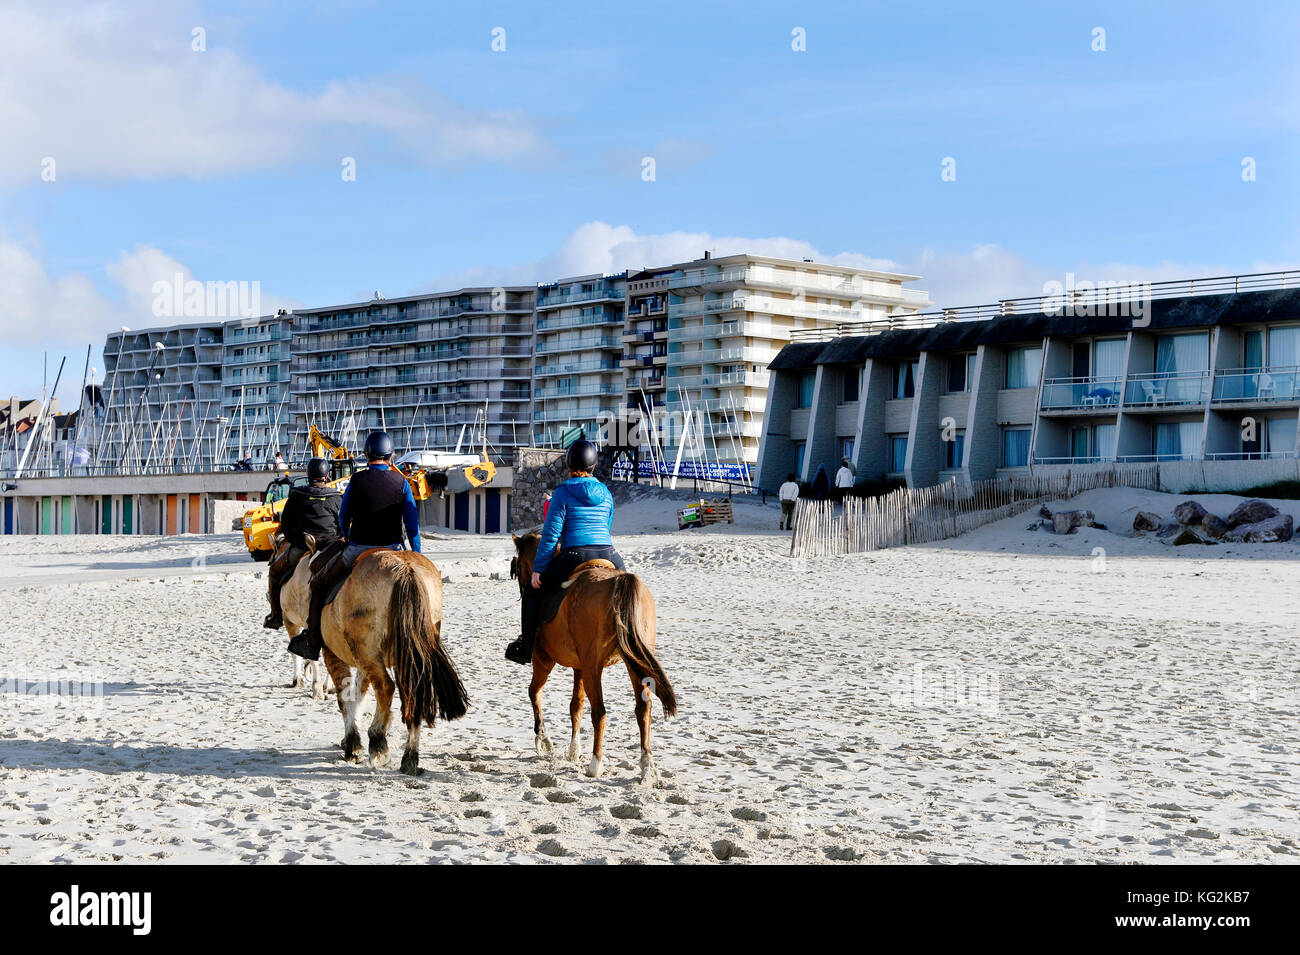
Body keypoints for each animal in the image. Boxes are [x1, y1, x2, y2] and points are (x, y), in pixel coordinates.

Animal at [276, 537, 470, 779]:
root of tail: (404, 569)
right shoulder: (363, 661)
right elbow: (358, 695)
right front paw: (350, 739)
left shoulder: (334, 654)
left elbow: (345, 697)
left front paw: (353, 744)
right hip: (400, 657)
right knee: (411, 693)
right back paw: (410, 758)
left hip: (368, 653)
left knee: (386, 688)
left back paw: (378, 742)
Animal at [506, 530, 676, 784]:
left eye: (518, 569)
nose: (525, 586)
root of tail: (618, 581)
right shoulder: (580, 667)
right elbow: (576, 705)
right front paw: (573, 750)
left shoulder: (544, 659)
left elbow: (535, 692)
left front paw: (543, 740)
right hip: (632, 663)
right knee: (642, 708)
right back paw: (647, 765)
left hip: (592, 666)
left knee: (600, 711)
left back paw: (596, 764)